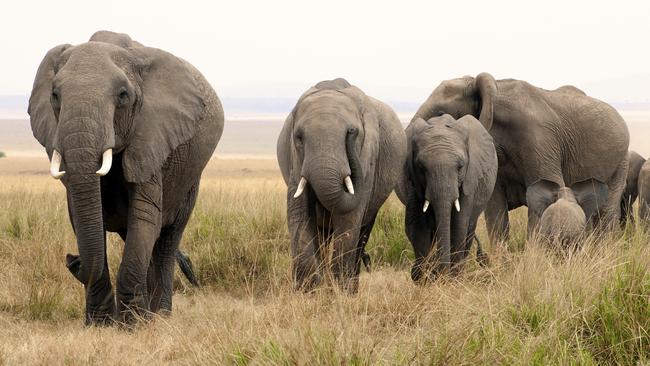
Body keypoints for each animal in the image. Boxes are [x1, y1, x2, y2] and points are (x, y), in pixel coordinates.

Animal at [27, 30, 223, 324]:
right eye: (55, 95)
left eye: (122, 95)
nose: (72, 259)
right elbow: (82, 218)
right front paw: (101, 324)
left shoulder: (150, 137)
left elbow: (144, 215)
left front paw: (133, 325)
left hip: (190, 180)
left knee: (166, 240)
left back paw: (159, 316)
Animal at [278, 78, 408, 294]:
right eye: (298, 137)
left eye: (353, 132)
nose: (351, 134)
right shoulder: (295, 159)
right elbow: (299, 212)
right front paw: (308, 292)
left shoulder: (368, 154)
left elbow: (349, 219)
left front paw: (339, 293)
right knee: (322, 234)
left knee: (361, 233)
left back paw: (350, 289)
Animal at [394, 114, 496, 280]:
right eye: (421, 167)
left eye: (460, 166)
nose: (441, 273)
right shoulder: (413, 183)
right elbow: (418, 226)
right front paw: (424, 277)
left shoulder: (469, 180)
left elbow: (458, 225)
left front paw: (451, 279)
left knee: (468, 230)